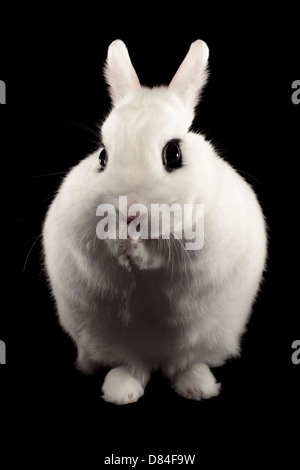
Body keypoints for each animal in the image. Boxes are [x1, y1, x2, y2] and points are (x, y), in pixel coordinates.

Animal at [42, 38, 268, 404]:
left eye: (173, 154)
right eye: (102, 156)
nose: (129, 210)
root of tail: (156, 359)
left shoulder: (196, 246)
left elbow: (162, 257)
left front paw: (137, 252)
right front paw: (123, 246)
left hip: (205, 339)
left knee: (183, 365)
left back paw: (197, 387)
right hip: (107, 340)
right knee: (131, 366)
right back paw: (121, 392)